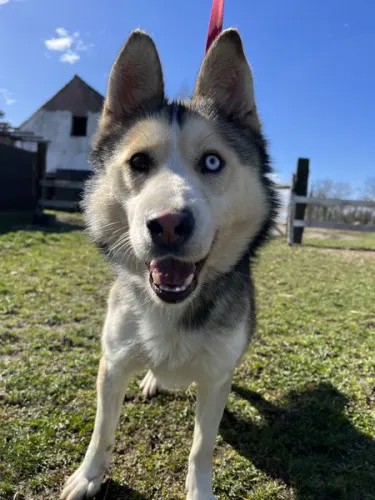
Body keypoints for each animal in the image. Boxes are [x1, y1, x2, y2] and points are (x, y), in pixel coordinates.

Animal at [61, 26, 280, 500]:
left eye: (212, 161)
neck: (170, 308)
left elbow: (202, 446)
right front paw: (88, 476)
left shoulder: (216, 376)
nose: (168, 225)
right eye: (139, 161)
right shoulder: (113, 363)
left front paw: (199, 491)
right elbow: (102, 430)